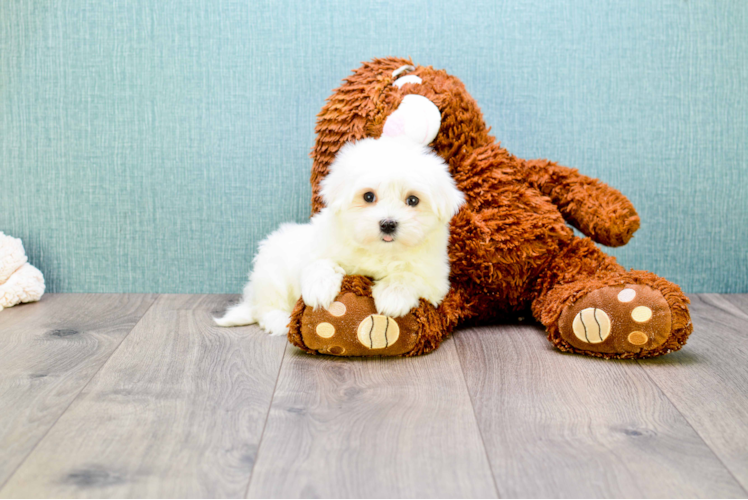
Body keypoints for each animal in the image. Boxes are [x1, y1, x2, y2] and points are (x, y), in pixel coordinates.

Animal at [213, 135, 464, 334]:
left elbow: (408, 276)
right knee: (266, 307)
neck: (379, 251)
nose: (388, 223)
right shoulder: (319, 248)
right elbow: (319, 264)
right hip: (271, 273)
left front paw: (393, 296)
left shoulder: (435, 279)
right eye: (368, 196)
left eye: (412, 200)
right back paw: (280, 321)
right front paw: (320, 289)